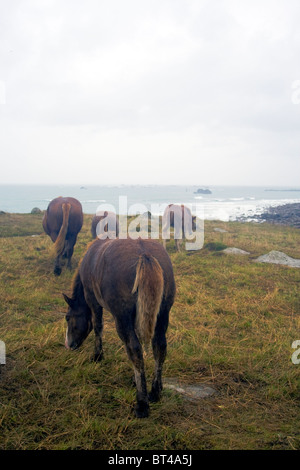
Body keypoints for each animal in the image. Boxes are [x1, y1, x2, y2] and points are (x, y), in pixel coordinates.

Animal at [63, 237, 176, 416]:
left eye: (68, 318)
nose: (69, 344)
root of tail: (145, 255)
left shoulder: (92, 299)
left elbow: (98, 326)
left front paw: (97, 355)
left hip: (121, 317)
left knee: (134, 349)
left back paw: (142, 404)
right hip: (162, 314)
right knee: (159, 347)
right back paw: (154, 391)